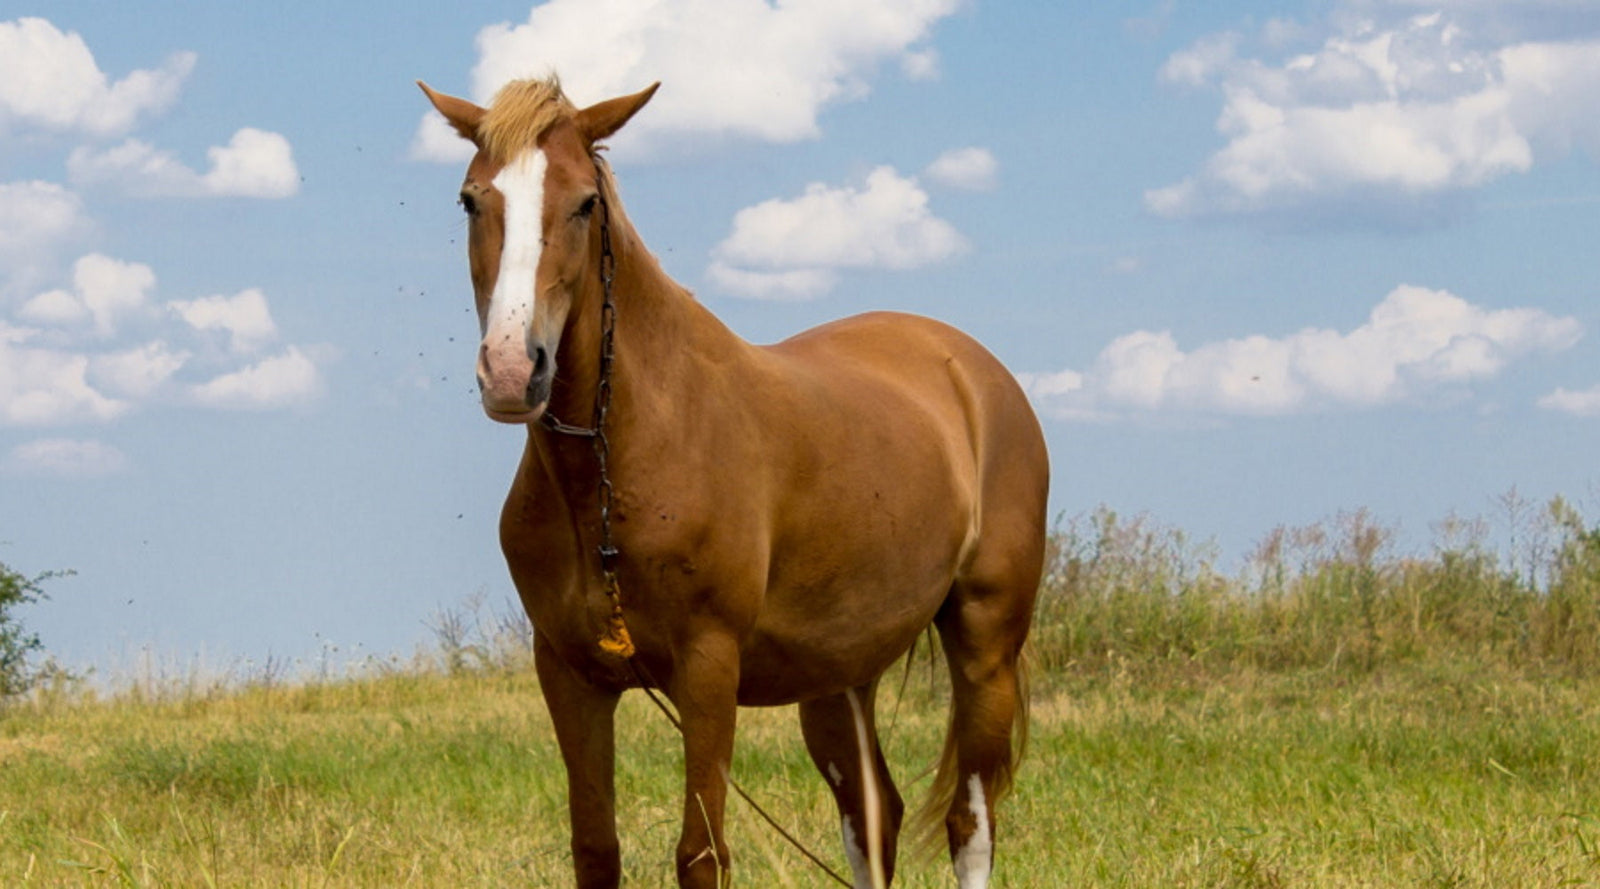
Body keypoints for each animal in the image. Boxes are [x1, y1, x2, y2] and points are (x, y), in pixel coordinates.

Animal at [418, 75, 1049, 889]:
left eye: (585, 202)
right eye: (471, 199)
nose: (509, 369)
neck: (619, 473)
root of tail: (972, 370)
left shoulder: (708, 668)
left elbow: (702, 852)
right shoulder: (569, 675)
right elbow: (595, 847)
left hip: (984, 643)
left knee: (970, 822)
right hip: (841, 673)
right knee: (874, 816)